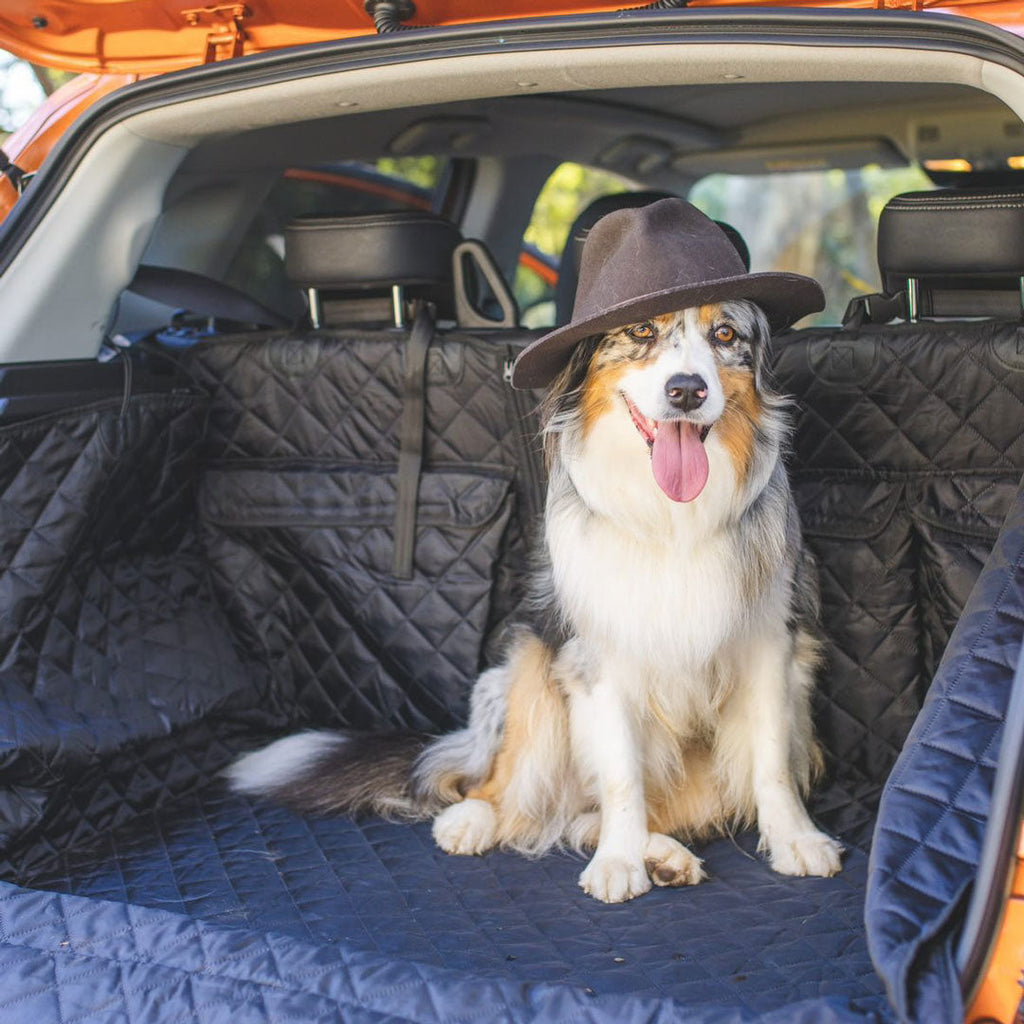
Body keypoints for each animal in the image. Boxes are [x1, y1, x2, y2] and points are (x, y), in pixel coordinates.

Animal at [226, 199, 839, 905]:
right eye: (641, 330)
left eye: (726, 335)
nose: (686, 390)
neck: (671, 517)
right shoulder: (598, 655)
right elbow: (622, 773)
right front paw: (618, 862)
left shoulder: (771, 640)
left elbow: (771, 764)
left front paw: (795, 839)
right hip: (529, 667)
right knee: (516, 793)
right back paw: (477, 821)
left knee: (583, 815)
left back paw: (664, 855)